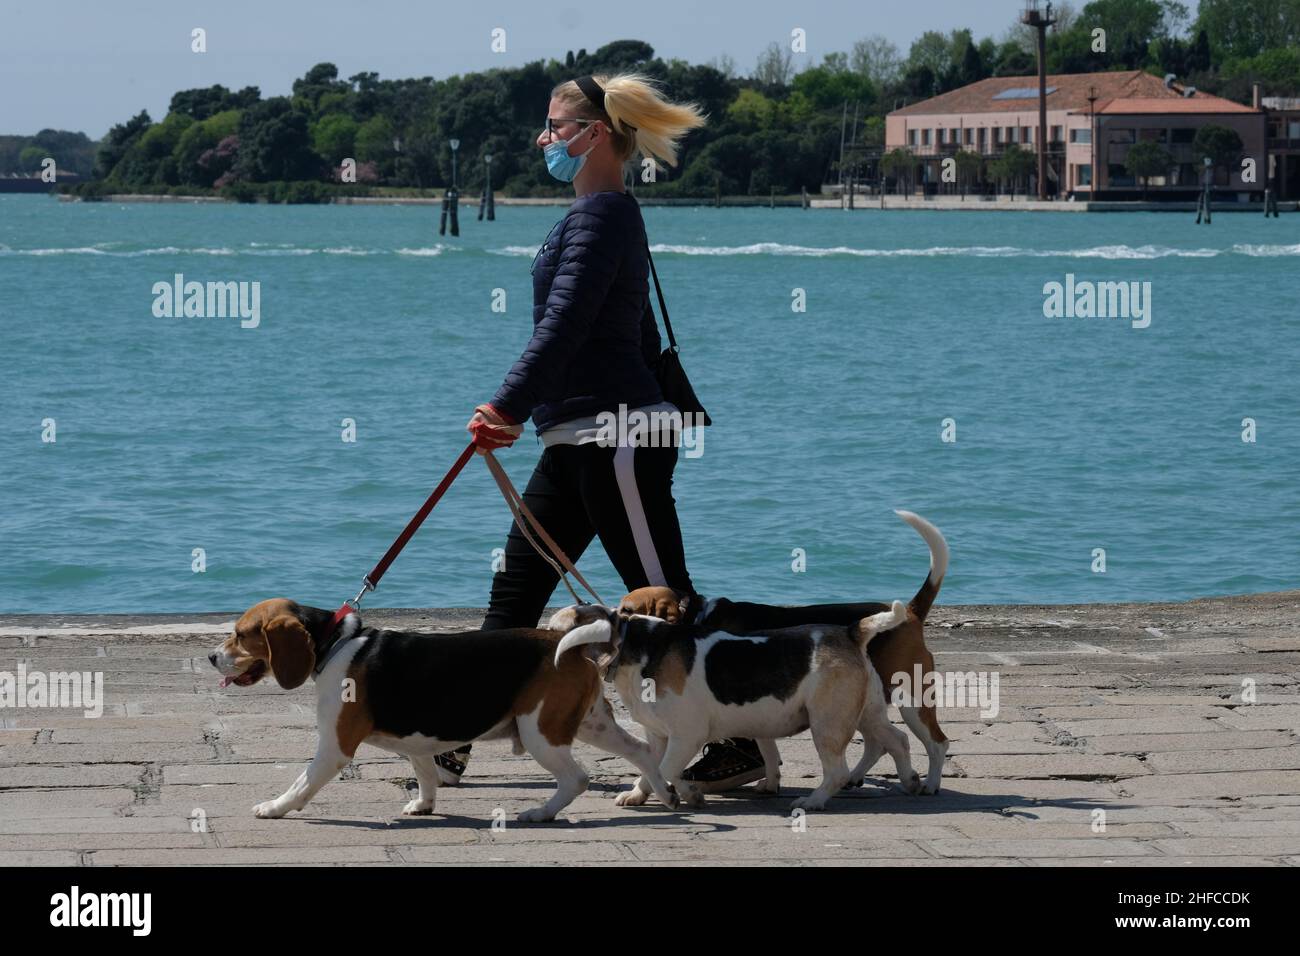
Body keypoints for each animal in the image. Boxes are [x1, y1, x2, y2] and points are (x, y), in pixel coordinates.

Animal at [202, 600, 681, 827]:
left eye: (241, 635)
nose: (210, 658)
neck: (334, 643)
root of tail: (569, 643)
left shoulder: (334, 748)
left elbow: (301, 783)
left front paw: (275, 807)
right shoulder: (415, 742)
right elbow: (425, 771)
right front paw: (424, 804)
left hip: (541, 731)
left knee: (577, 778)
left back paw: (540, 814)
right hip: (590, 723)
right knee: (641, 750)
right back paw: (660, 794)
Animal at [553, 598, 920, 806]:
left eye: (556, 631)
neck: (635, 644)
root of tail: (850, 632)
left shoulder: (686, 737)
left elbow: (661, 769)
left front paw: (672, 795)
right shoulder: (658, 736)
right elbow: (651, 764)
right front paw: (641, 794)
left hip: (827, 725)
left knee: (837, 772)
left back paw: (812, 801)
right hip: (868, 714)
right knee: (898, 740)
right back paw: (912, 782)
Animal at [613, 512, 951, 796]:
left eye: (627, 609)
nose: (614, 619)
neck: (698, 613)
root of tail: (911, 612)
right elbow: (768, 749)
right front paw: (771, 782)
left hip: (911, 700)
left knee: (937, 743)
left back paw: (930, 784)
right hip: (865, 704)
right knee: (878, 743)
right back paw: (861, 777)